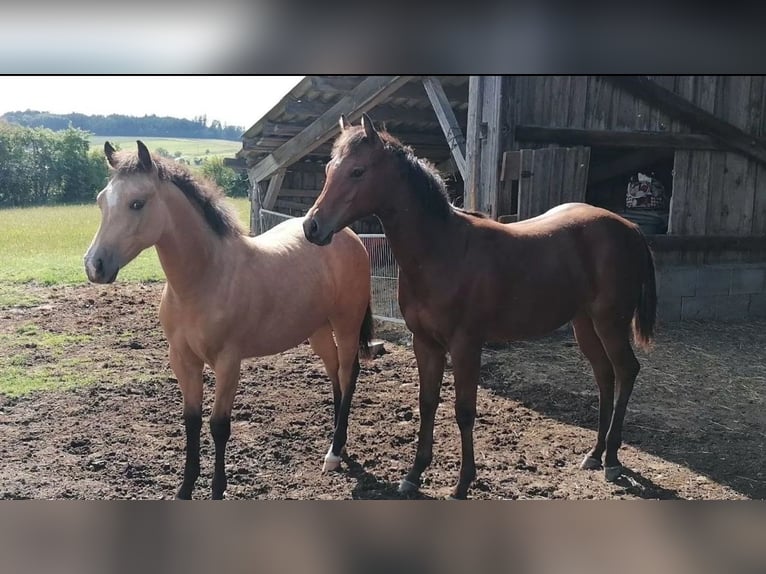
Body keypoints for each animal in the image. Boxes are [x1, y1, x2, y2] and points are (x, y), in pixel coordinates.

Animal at [85, 142, 374, 502]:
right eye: (101, 200)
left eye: (137, 203)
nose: (94, 265)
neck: (204, 279)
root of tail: (346, 234)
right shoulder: (182, 360)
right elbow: (191, 420)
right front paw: (185, 488)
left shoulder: (228, 363)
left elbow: (218, 426)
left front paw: (218, 489)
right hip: (317, 328)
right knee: (334, 371)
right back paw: (338, 440)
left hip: (346, 323)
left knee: (349, 373)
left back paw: (334, 453)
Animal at [304, 115, 656, 502]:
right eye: (329, 170)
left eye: (357, 171)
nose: (311, 226)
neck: (443, 250)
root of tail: (630, 228)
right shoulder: (425, 343)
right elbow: (427, 403)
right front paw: (414, 474)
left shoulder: (466, 345)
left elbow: (464, 411)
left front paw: (462, 483)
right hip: (585, 323)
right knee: (605, 376)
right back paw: (594, 454)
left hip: (610, 321)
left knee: (626, 370)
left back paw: (612, 460)